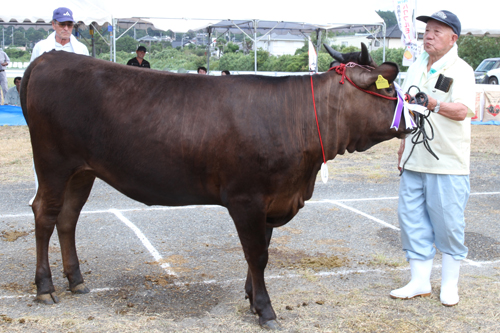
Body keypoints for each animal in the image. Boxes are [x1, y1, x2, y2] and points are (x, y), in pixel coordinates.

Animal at [20, 45, 410, 328]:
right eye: (390, 89)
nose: (413, 116)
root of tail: (50, 57)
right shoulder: (246, 198)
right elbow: (258, 254)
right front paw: (265, 310)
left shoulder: (272, 199)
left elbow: (261, 250)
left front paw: (251, 299)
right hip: (53, 163)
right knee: (45, 214)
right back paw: (46, 287)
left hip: (82, 171)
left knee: (68, 217)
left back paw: (76, 280)